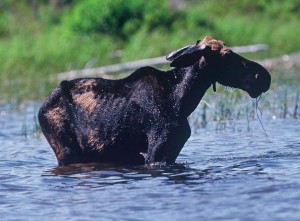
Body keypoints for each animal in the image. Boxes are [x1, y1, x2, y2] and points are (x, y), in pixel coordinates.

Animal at [38, 36, 270, 166]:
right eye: (227, 55)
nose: (263, 76)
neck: (181, 99)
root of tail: (41, 110)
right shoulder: (156, 151)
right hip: (66, 151)